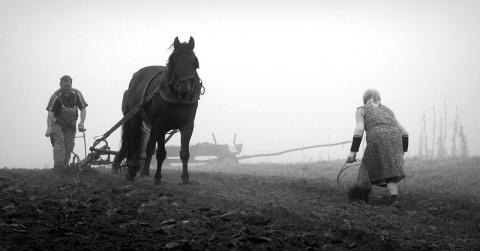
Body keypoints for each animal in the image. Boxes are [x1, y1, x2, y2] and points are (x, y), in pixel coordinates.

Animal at [114, 35, 202, 184]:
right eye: (172, 61)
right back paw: (132, 169)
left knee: (149, 148)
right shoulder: (161, 125)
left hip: (152, 125)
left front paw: (185, 178)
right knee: (133, 141)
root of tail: (136, 75)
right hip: (135, 116)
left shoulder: (188, 124)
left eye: (195, 62)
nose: (185, 91)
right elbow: (161, 153)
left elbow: (184, 153)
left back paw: (144, 172)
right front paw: (157, 178)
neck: (176, 99)